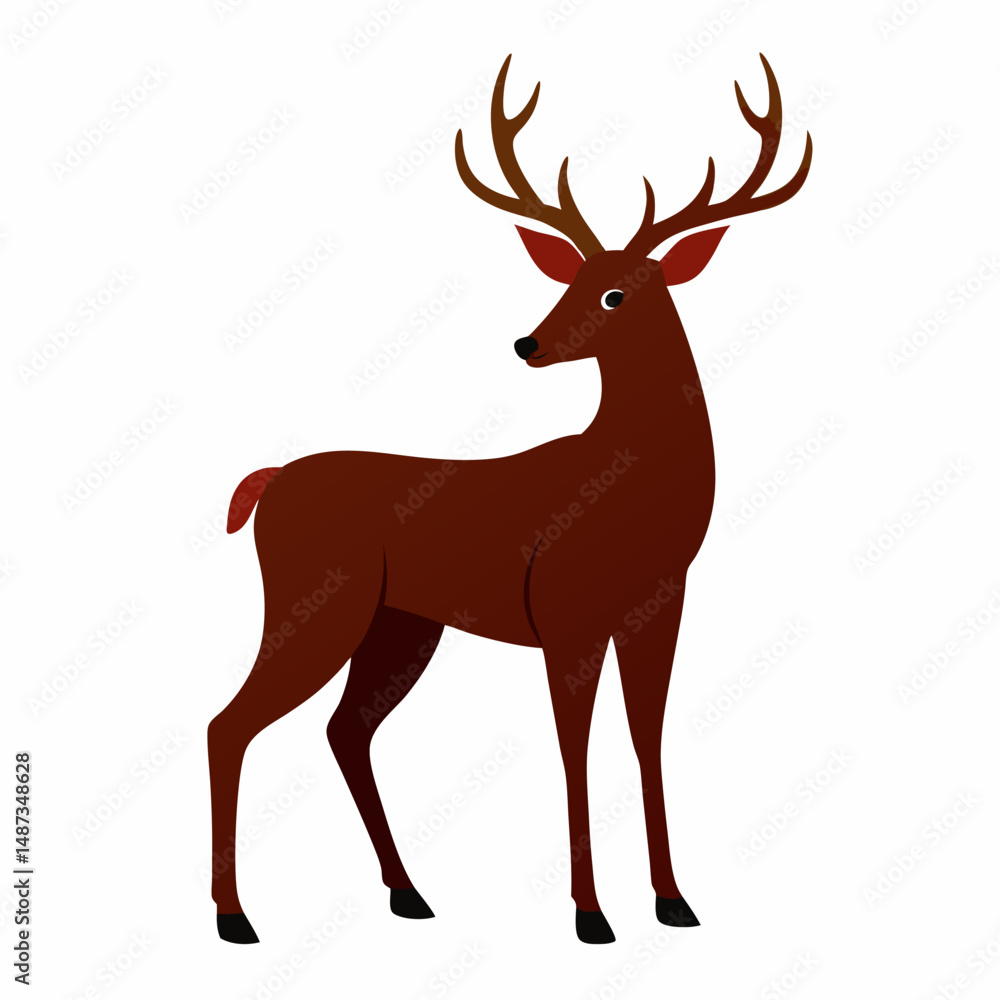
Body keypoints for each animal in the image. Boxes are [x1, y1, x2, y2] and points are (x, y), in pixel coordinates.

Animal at [208, 52, 811, 946]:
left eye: (616, 294)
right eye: (575, 279)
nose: (528, 343)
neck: (632, 489)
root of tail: (267, 483)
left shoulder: (660, 607)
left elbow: (647, 738)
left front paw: (673, 901)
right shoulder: (563, 612)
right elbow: (574, 747)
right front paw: (591, 914)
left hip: (400, 623)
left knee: (344, 729)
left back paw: (409, 893)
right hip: (317, 602)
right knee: (231, 724)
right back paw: (235, 917)